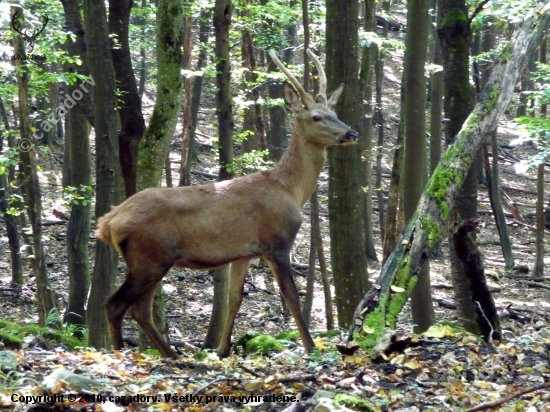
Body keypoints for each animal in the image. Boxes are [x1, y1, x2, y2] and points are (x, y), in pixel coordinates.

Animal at [97, 47, 360, 358]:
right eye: (317, 117)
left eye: (335, 113)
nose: (351, 133)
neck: (290, 189)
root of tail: (107, 223)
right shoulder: (277, 243)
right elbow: (292, 297)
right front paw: (310, 348)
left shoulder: (243, 253)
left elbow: (233, 300)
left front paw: (223, 351)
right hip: (149, 255)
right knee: (116, 304)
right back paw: (121, 353)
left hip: (150, 259)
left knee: (140, 309)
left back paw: (171, 355)